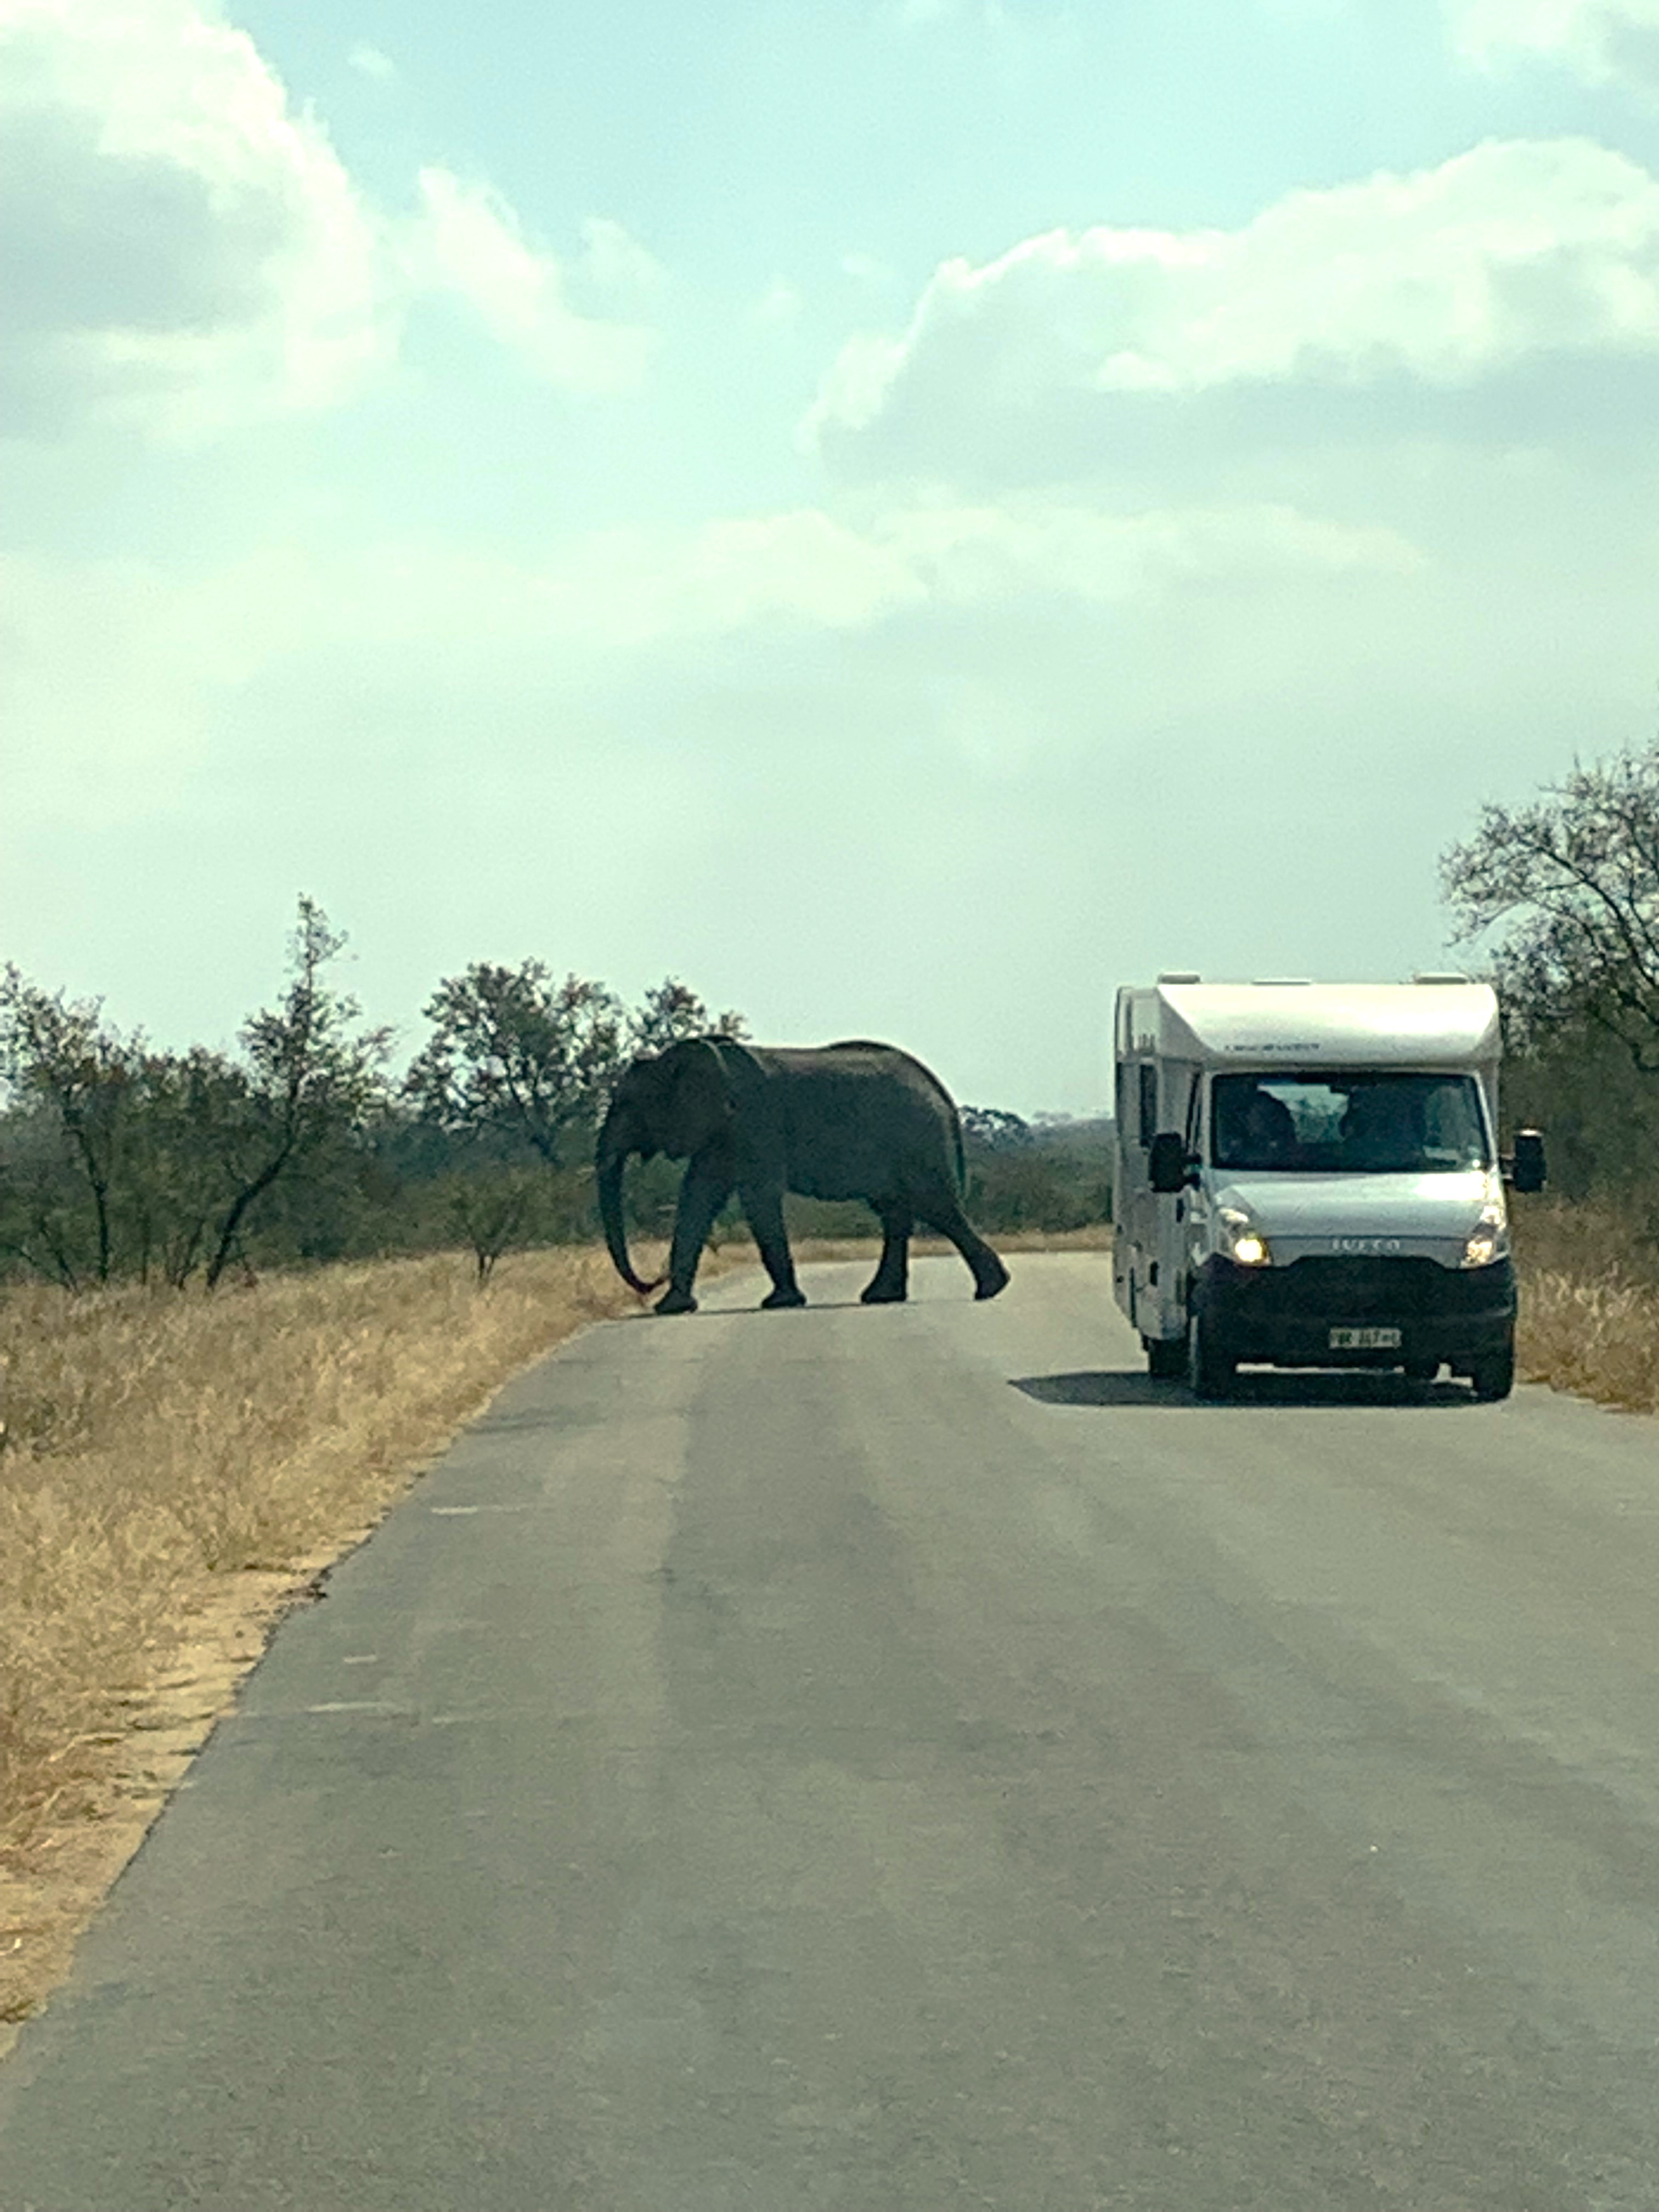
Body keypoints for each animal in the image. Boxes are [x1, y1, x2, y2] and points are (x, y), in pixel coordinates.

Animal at [597, 1035, 1013, 1309]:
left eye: (627, 1105)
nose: (651, 1281)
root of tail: (942, 1093)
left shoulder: (755, 1121)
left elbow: (758, 1198)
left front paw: (781, 1303)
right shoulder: (721, 1131)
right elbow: (697, 1198)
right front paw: (672, 1308)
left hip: (916, 1137)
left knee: (935, 1205)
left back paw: (990, 1290)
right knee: (896, 1212)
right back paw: (883, 1297)